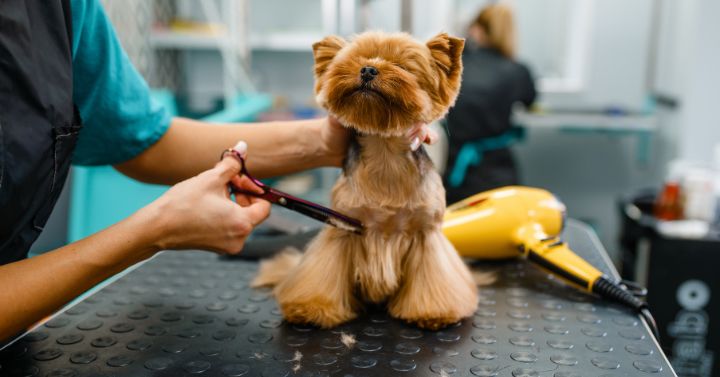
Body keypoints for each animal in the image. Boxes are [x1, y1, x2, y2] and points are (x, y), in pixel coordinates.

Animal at [253, 30, 478, 328]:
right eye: (356, 60)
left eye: (403, 66)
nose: (368, 69)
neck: (384, 152)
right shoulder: (343, 227)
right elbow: (322, 273)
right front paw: (311, 308)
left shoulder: (426, 233)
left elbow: (431, 277)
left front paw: (432, 312)